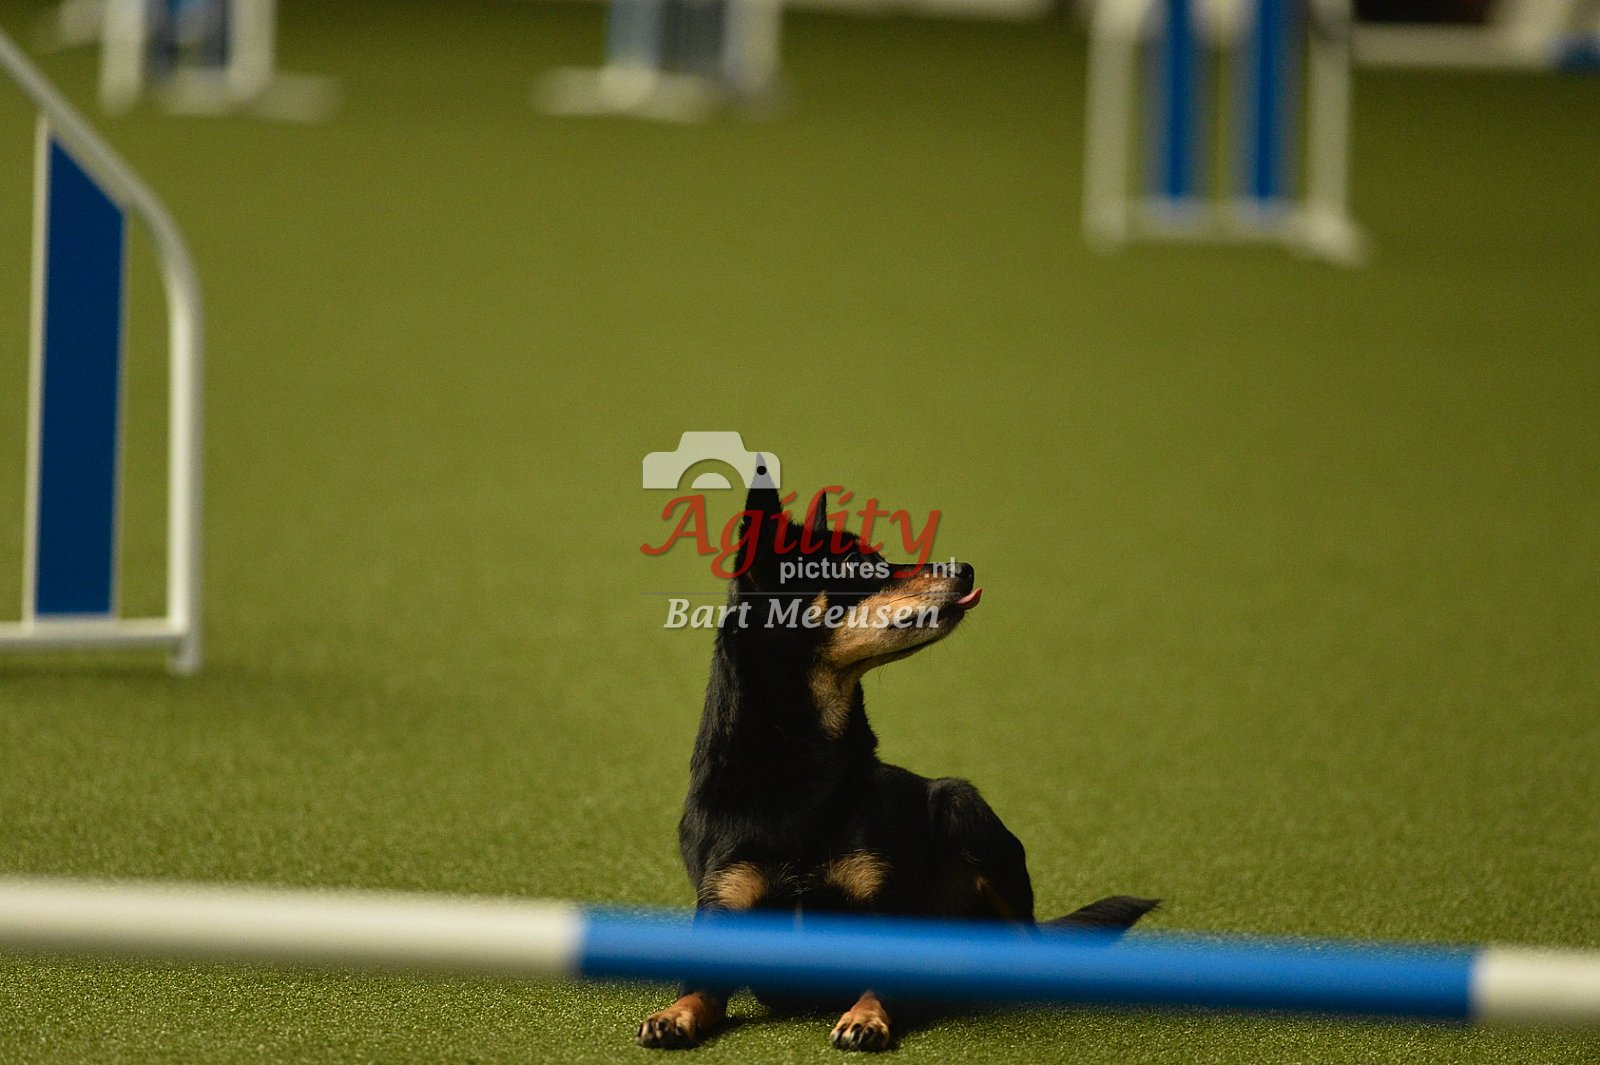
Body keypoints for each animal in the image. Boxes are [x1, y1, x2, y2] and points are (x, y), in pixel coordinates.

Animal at [637, 482, 1158, 1051]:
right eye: (859, 565)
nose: (965, 568)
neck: (802, 769)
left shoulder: (884, 916)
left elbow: (880, 980)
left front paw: (865, 1017)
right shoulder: (724, 908)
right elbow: (696, 989)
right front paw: (672, 1016)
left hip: (964, 806)